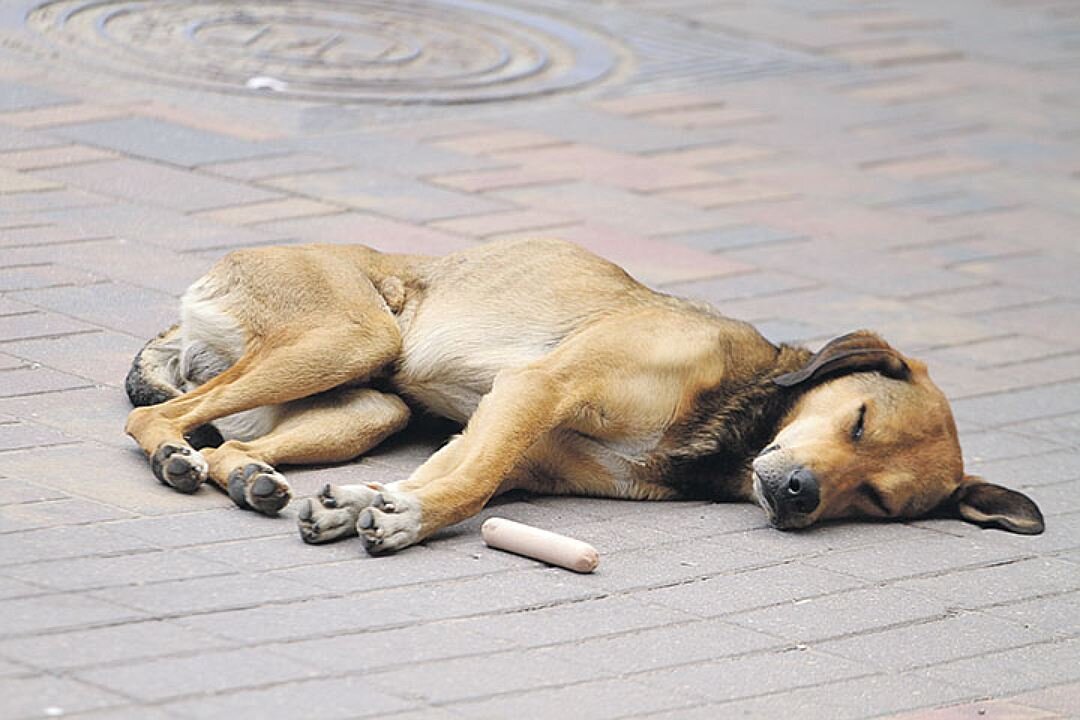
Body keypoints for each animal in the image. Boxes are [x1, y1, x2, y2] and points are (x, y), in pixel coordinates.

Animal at [122, 237, 1041, 552]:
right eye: (856, 420)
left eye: (879, 500)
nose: (796, 496)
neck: (730, 424)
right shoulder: (539, 386)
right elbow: (465, 483)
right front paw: (402, 517)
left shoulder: (523, 446)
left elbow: (457, 475)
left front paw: (368, 505)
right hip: (353, 337)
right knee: (152, 414)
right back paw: (174, 454)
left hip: (368, 407)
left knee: (236, 446)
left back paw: (250, 477)